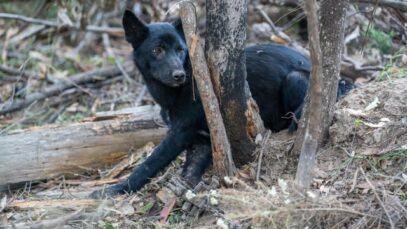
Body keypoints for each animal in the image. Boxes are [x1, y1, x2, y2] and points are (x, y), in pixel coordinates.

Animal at [90, 10, 354, 197]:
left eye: (181, 50)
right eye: (157, 50)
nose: (179, 75)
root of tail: (342, 80)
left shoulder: (180, 133)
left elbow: (149, 164)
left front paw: (114, 190)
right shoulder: (203, 139)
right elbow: (190, 169)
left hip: (296, 78)